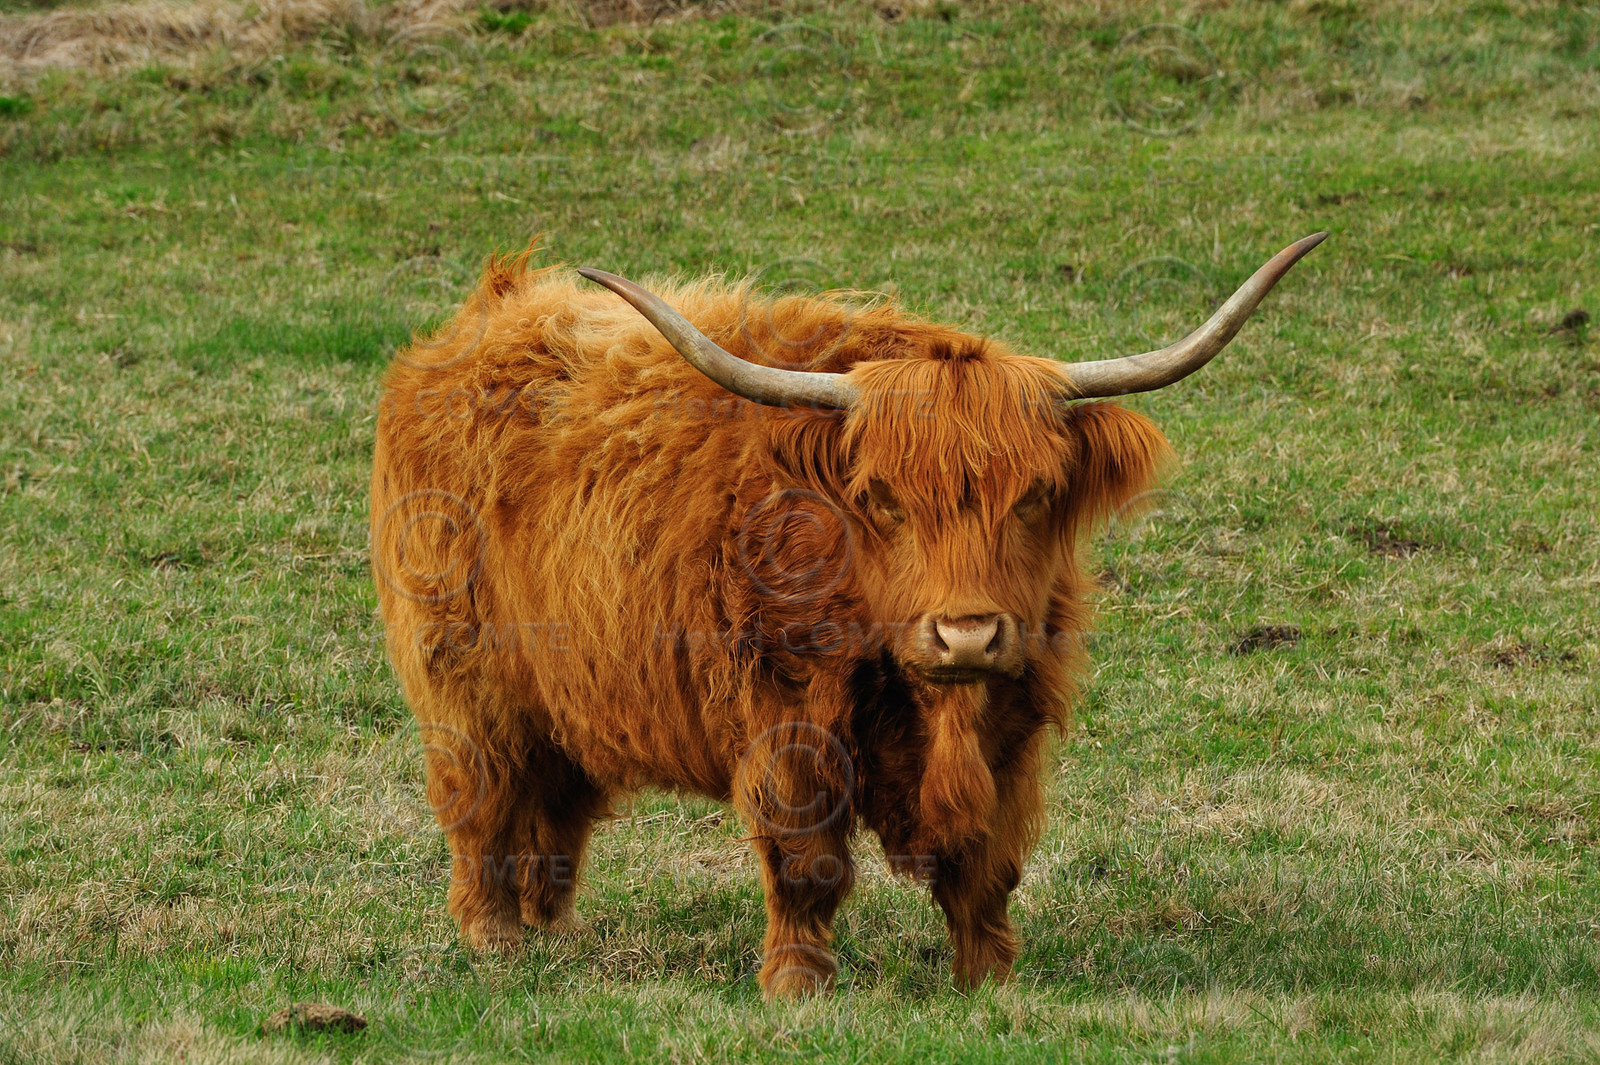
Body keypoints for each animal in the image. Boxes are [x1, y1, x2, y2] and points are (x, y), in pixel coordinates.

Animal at [369, 232, 1325, 998]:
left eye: (1036, 495)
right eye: (882, 498)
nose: (967, 632)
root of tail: (484, 319)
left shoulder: (1012, 723)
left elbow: (988, 865)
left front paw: (990, 980)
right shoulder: (787, 719)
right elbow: (807, 862)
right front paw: (798, 985)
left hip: (565, 693)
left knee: (555, 805)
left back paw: (553, 930)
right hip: (463, 680)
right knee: (480, 796)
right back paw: (495, 936)